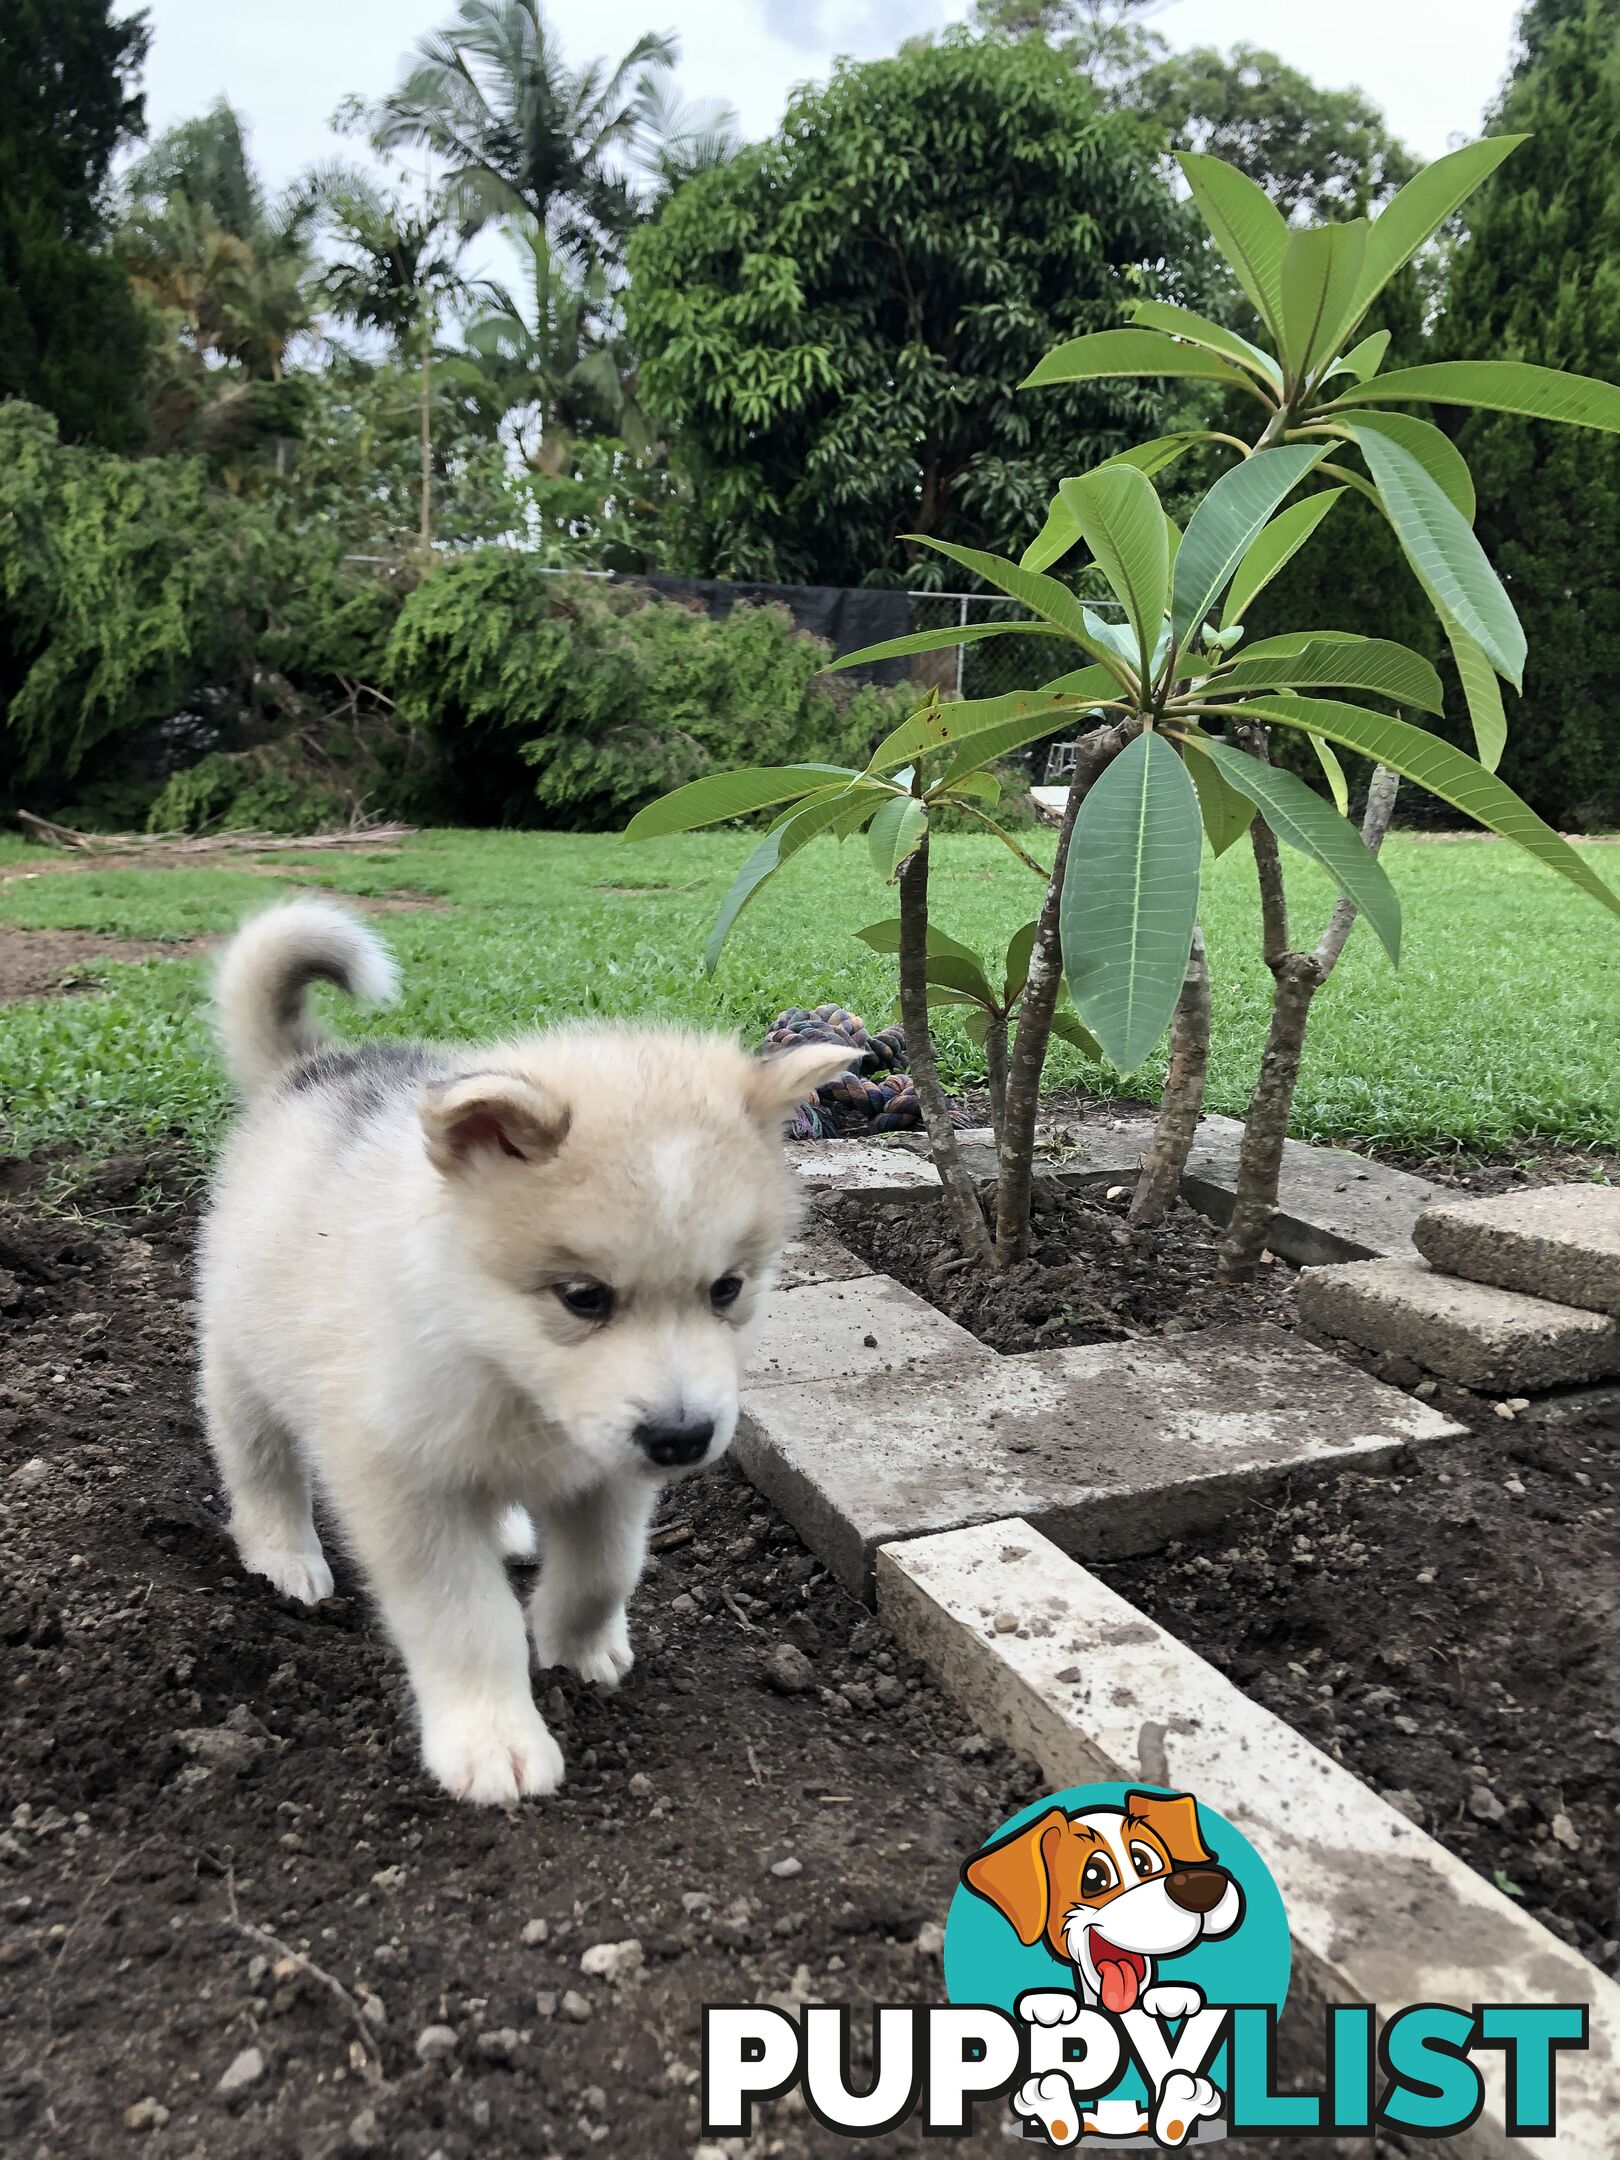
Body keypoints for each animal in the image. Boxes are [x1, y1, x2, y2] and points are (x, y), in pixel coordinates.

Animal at [199, 898, 851, 1805]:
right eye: (583, 1297)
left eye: (727, 1289)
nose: (683, 1440)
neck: (506, 1375)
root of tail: (313, 1068)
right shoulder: (403, 1481)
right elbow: (466, 1618)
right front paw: (493, 1739)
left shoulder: (610, 1475)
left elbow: (606, 1569)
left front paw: (577, 1644)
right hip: (243, 1355)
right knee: (258, 1462)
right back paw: (284, 1555)